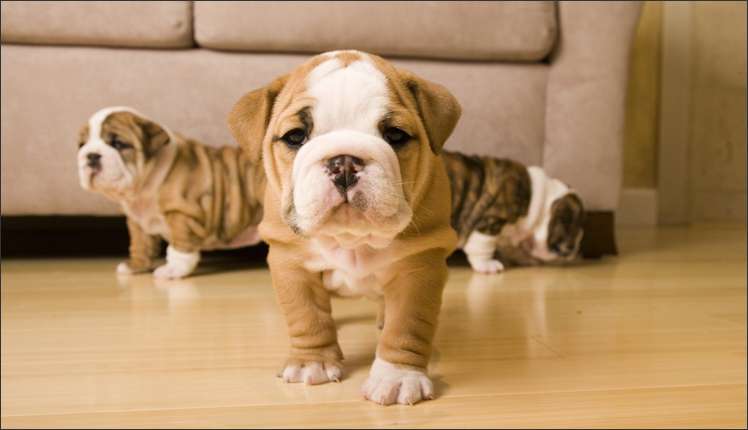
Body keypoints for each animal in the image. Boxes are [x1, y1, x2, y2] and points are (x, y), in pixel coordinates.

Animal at [77, 107, 264, 278]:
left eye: (118, 144)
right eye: (81, 145)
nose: (91, 155)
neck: (144, 186)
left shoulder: (181, 213)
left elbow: (179, 247)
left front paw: (173, 270)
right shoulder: (137, 221)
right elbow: (140, 244)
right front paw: (136, 266)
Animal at [229, 51, 462, 406]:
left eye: (396, 135)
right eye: (295, 137)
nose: (345, 162)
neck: (352, 239)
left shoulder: (419, 267)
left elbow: (406, 325)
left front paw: (397, 376)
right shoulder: (291, 264)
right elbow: (307, 317)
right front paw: (311, 363)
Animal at [444, 149, 584, 274]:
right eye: (567, 247)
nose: (573, 253)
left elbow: (510, 249)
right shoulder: (491, 219)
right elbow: (483, 245)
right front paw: (486, 265)